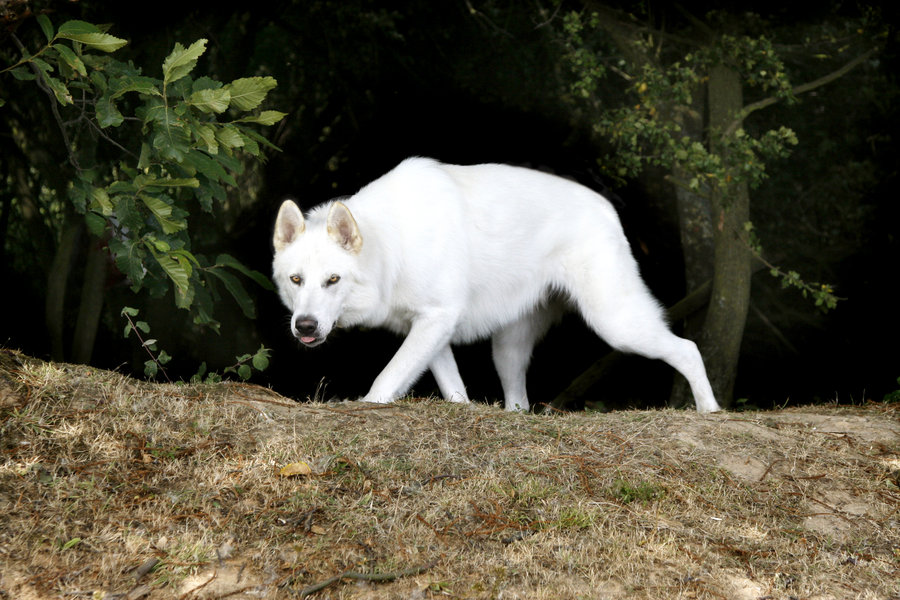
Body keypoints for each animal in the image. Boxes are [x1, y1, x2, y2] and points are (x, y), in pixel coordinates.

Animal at [270, 157, 720, 414]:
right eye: (296, 280)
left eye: (333, 280)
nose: (305, 326)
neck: (393, 245)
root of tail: (607, 207)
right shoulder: (431, 330)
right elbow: (453, 389)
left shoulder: (436, 320)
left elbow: (386, 378)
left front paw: (364, 406)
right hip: (507, 350)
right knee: (518, 400)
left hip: (616, 324)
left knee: (689, 349)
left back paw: (710, 411)